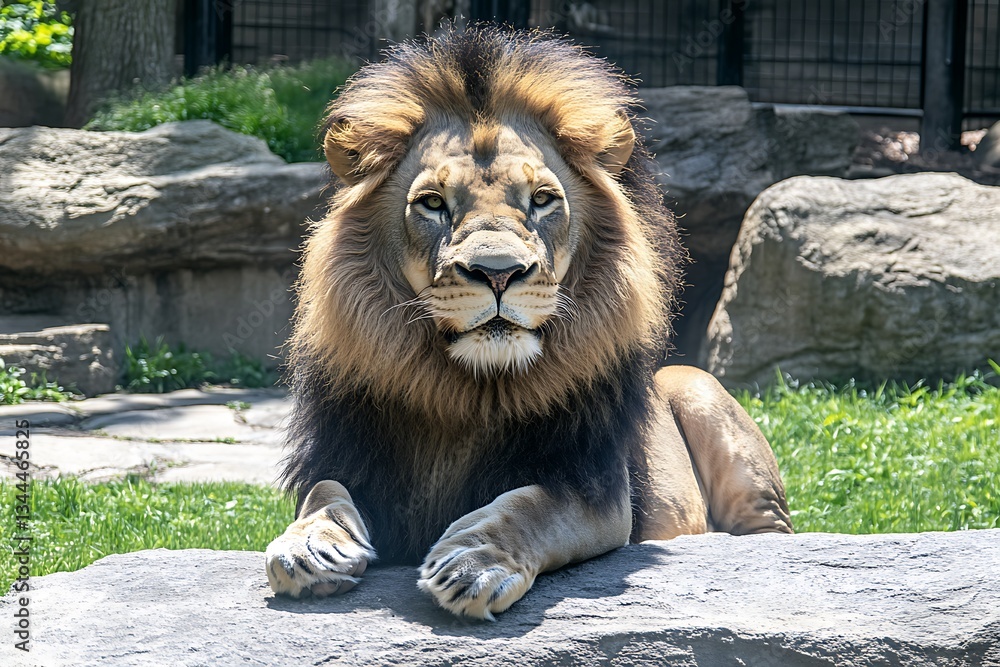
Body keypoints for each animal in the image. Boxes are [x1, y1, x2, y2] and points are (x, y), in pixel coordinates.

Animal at [265, 26, 792, 620]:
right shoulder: (350, 459)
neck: (466, 392)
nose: (498, 272)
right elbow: (324, 492)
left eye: (541, 200)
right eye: (432, 204)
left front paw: (473, 562)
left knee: (772, 534)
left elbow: (531, 505)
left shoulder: (596, 489)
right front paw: (310, 544)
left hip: (698, 388)